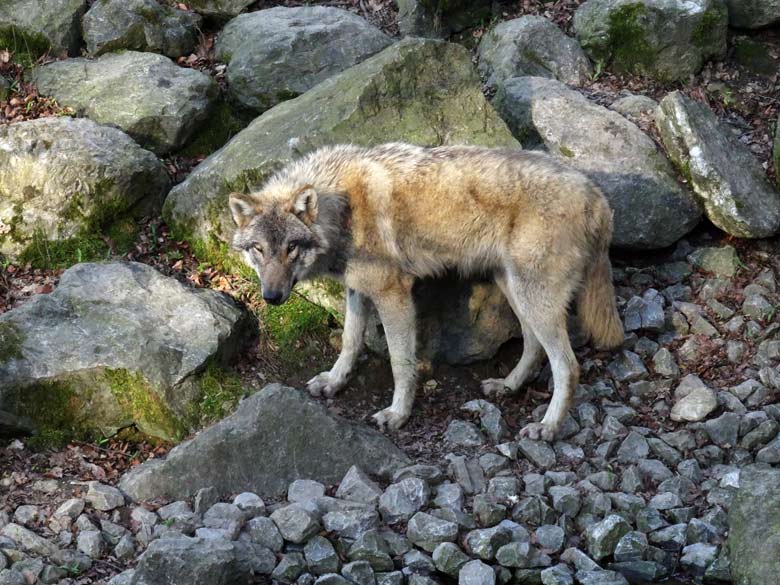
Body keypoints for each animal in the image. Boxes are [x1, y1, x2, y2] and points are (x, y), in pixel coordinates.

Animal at [229, 144, 624, 440]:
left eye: (291, 247)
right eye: (259, 249)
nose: (271, 297)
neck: (342, 210)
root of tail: (598, 197)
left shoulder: (394, 295)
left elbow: (400, 362)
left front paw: (397, 414)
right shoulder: (359, 290)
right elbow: (350, 342)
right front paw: (334, 381)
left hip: (533, 298)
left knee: (568, 366)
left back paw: (547, 427)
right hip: (515, 290)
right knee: (533, 345)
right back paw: (507, 386)